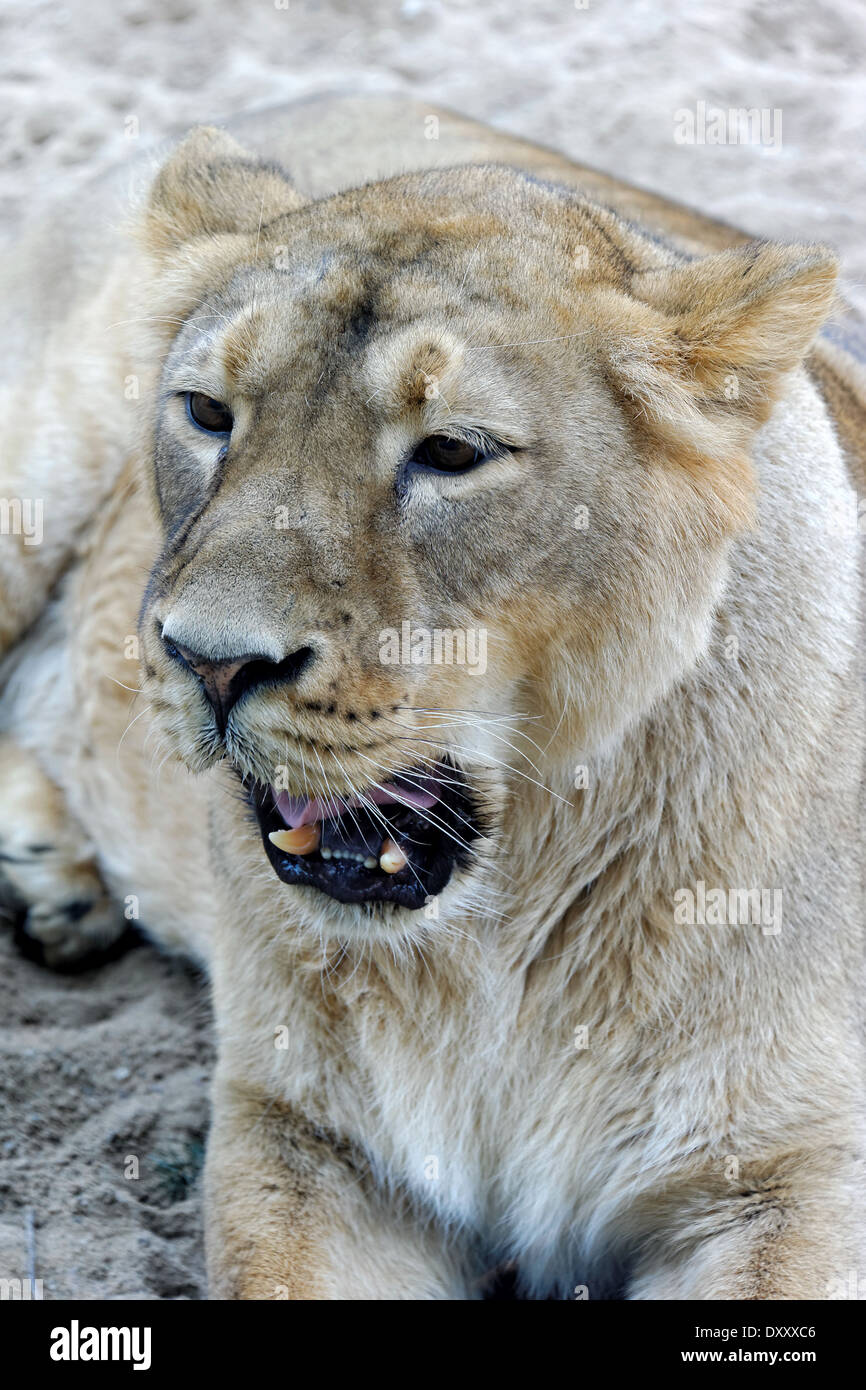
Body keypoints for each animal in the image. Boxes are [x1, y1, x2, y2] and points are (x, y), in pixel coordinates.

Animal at [0, 92, 861, 1295]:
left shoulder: (788, 1177)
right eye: (207, 413)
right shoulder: (303, 1137)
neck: (497, 938)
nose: (209, 660)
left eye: (452, 451)